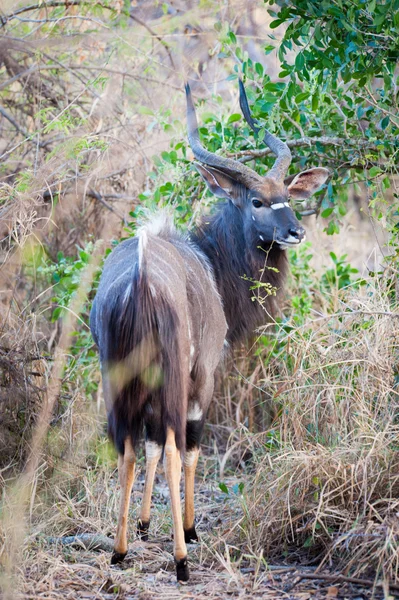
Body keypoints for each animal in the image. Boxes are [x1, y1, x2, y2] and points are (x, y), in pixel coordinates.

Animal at [91, 81, 332, 580]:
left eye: (288, 194)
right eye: (257, 201)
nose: (295, 232)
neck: (206, 259)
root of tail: (141, 279)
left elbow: (146, 447)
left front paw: (145, 526)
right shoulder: (203, 373)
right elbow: (187, 450)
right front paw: (189, 528)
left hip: (117, 379)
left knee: (128, 446)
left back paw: (119, 551)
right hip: (177, 377)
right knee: (172, 445)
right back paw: (181, 560)